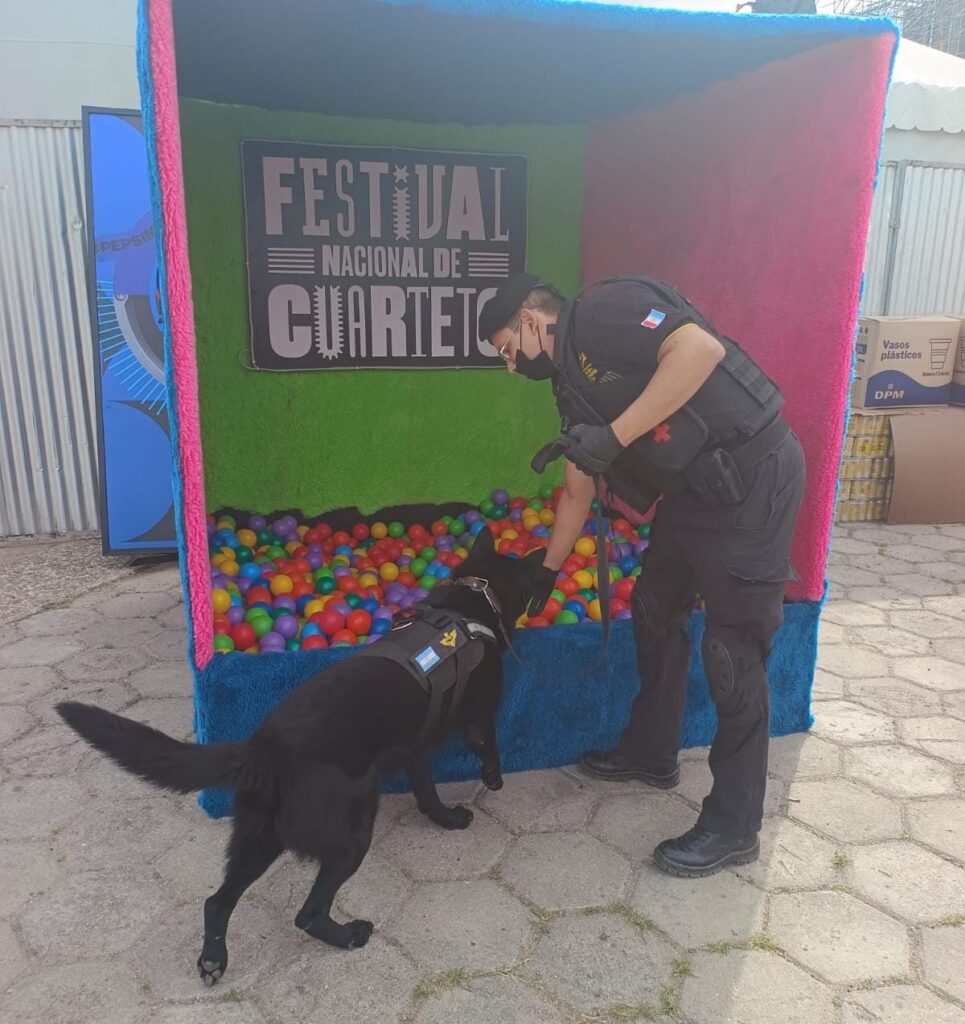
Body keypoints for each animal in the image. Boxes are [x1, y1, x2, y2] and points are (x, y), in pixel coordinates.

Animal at [57, 525, 544, 985]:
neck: (473, 598)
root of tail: (265, 748)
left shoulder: (415, 749)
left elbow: (427, 792)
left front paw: (444, 818)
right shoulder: (477, 722)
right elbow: (489, 745)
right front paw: (493, 778)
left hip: (258, 839)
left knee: (217, 902)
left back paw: (214, 957)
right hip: (350, 834)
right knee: (307, 913)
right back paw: (349, 935)